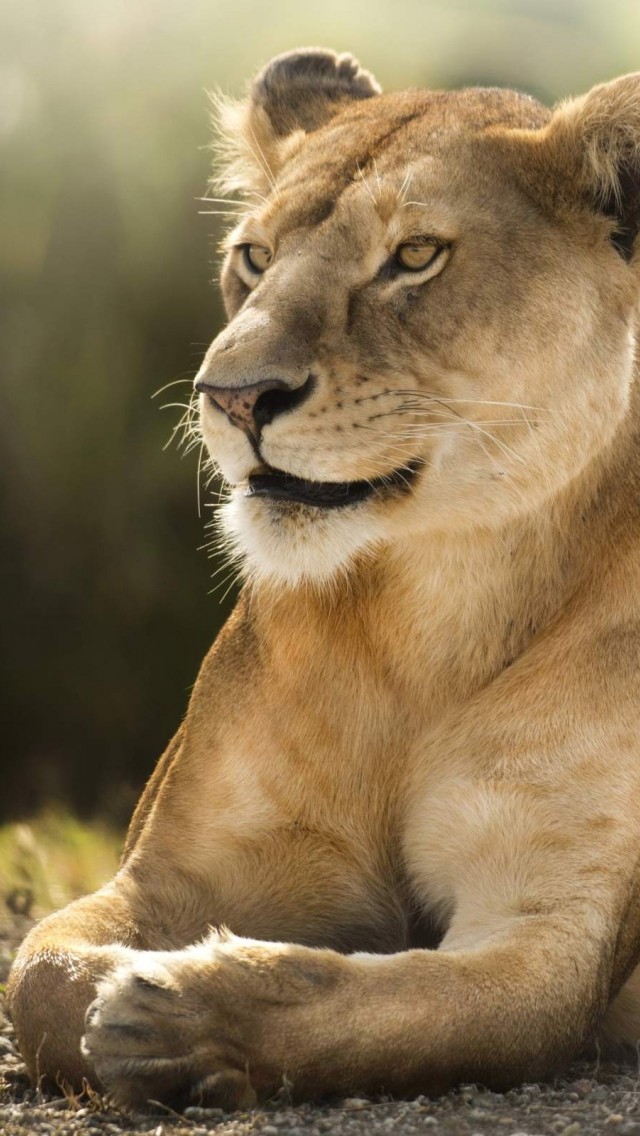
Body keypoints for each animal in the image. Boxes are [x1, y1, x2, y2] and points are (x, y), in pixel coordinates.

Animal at [8, 47, 640, 1110]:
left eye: (416, 255)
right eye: (255, 257)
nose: (231, 396)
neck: (436, 607)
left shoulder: (554, 929)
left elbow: (401, 1009)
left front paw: (183, 1015)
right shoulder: (169, 871)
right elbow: (40, 978)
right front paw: (131, 1002)